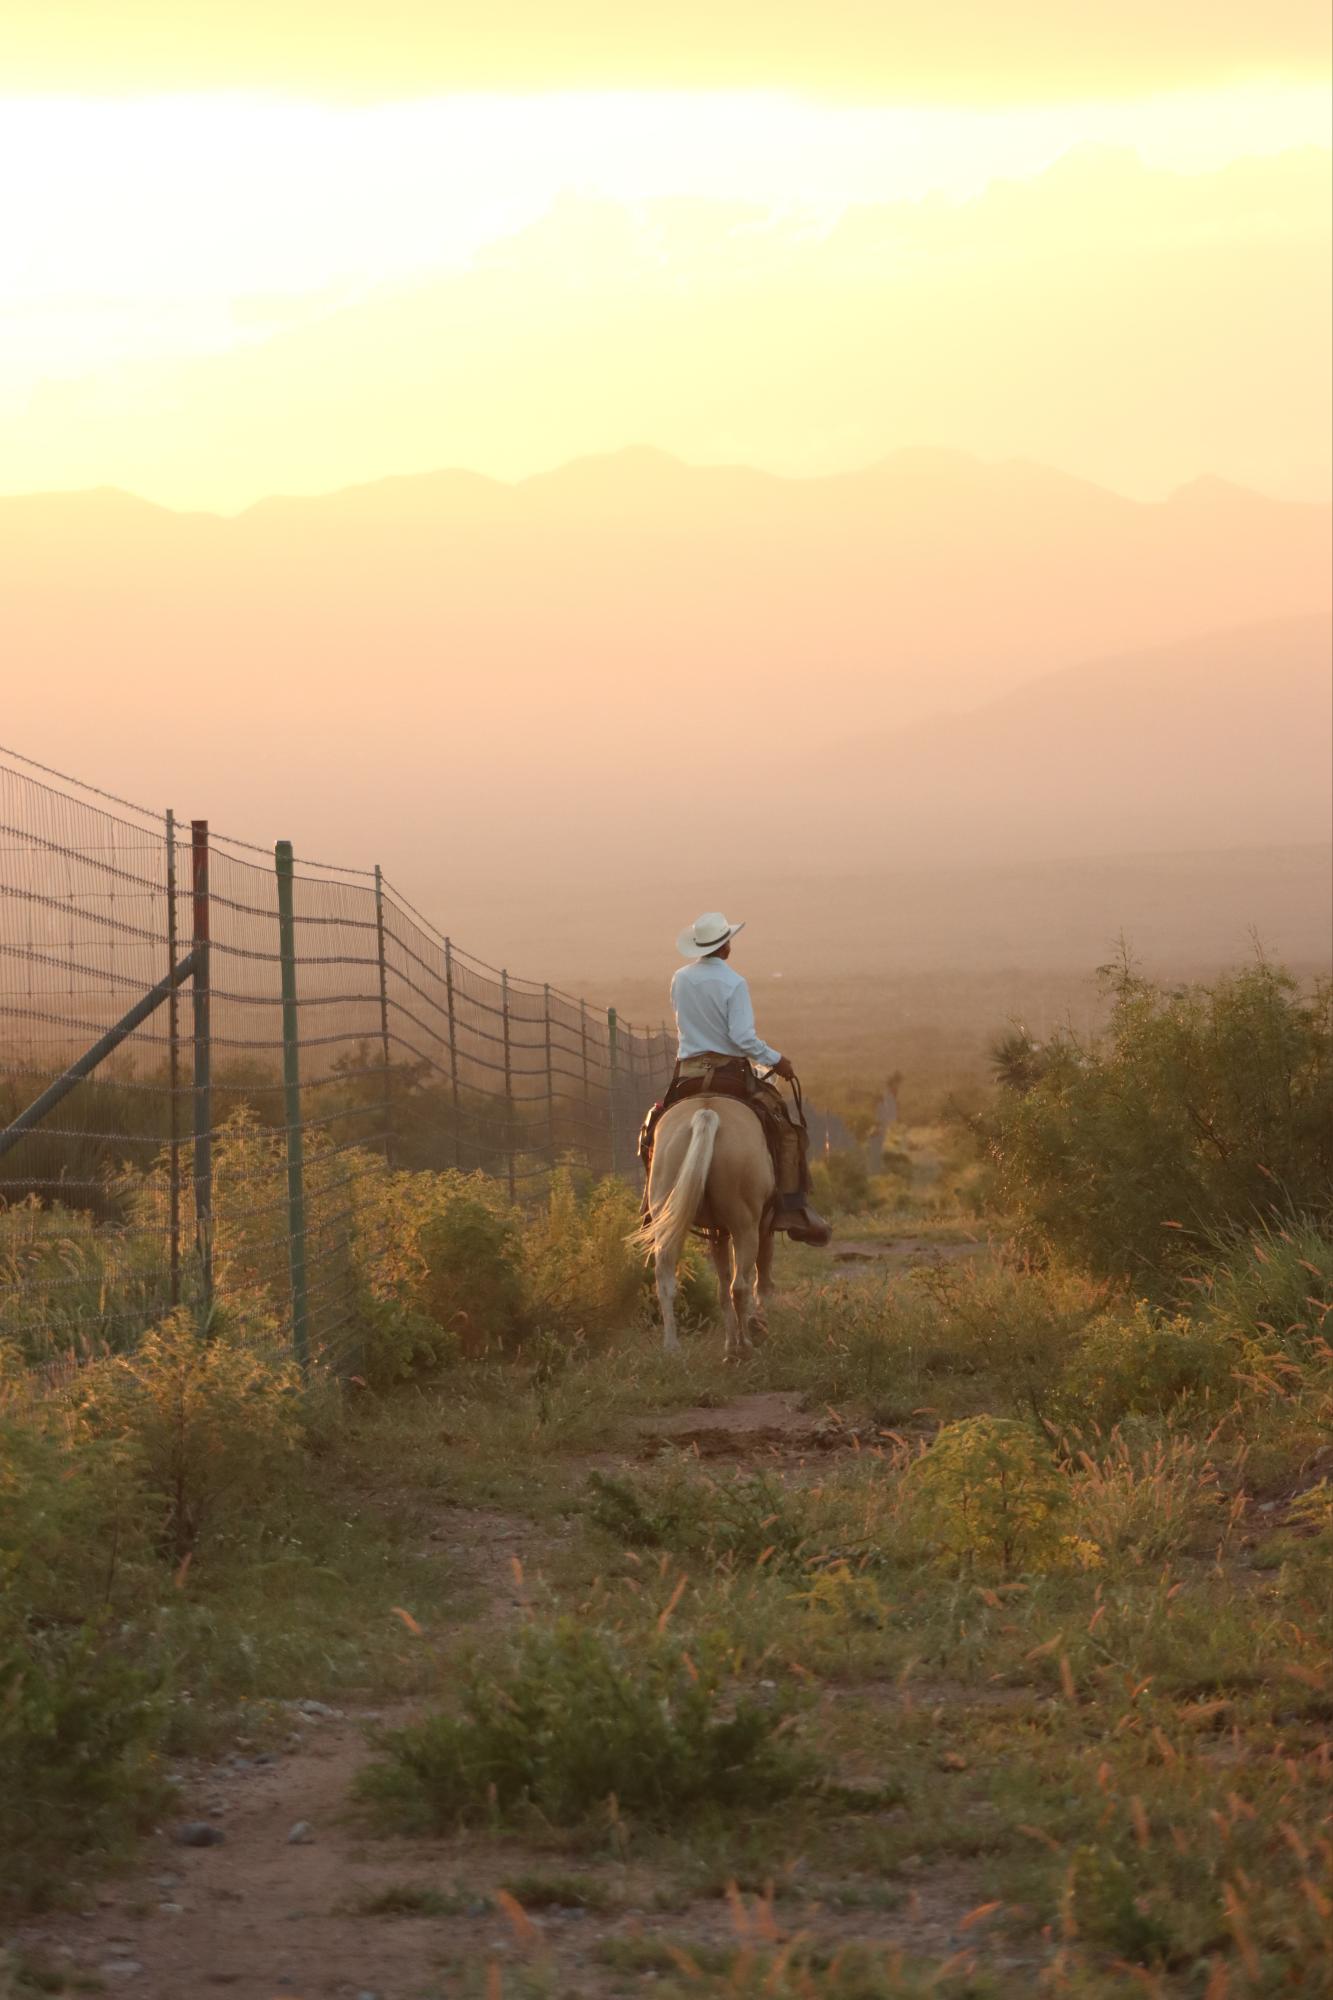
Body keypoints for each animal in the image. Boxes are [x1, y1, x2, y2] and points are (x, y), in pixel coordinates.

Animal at [628, 1096, 772, 1360]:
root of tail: (706, 1113)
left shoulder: (716, 1233)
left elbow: (721, 1288)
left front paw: (730, 1343)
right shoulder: (758, 1225)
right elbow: (756, 1278)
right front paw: (750, 1330)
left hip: (668, 1211)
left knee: (665, 1279)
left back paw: (672, 1347)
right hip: (745, 1227)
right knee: (740, 1286)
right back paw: (746, 1345)